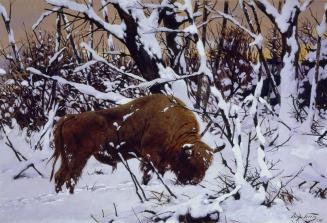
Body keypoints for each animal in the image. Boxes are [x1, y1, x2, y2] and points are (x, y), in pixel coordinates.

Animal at [50, 94, 217, 193]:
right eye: (191, 162)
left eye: (207, 166)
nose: (194, 182)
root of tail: (70, 118)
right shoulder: (151, 155)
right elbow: (148, 173)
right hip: (77, 157)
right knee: (69, 177)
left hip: (68, 158)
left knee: (62, 176)